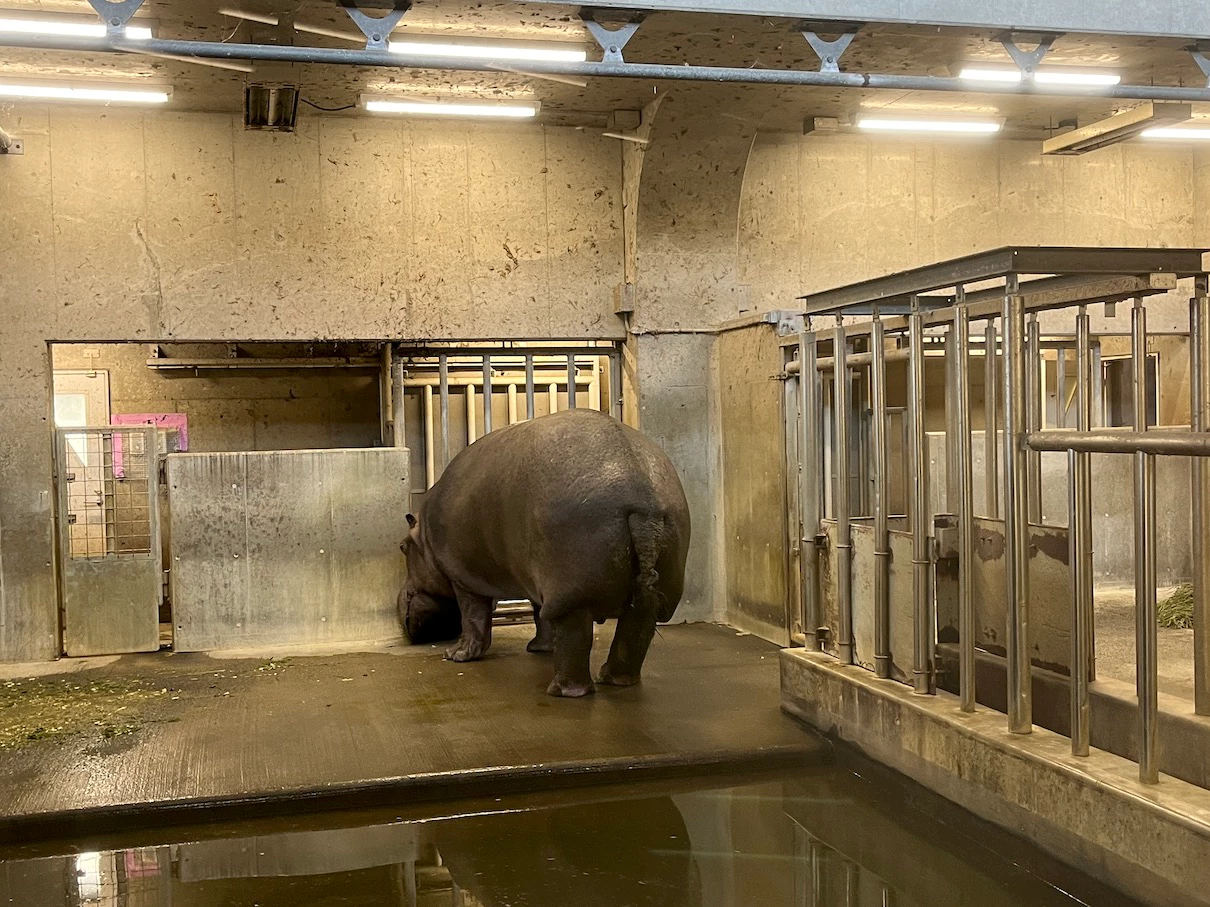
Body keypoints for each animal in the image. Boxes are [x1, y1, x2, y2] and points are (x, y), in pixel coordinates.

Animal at [399, 408, 690, 697]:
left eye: (402, 547)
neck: (424, 536)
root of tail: (643, 498)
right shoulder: (534, 576)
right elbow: (539, 614)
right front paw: (539, 649)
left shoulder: (464, 578)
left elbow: (473, 617)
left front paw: (455, 655)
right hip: (652, 587)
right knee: (635, 629)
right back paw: (613, 678)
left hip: (571, 593)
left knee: (575, 637)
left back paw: (561, 691)